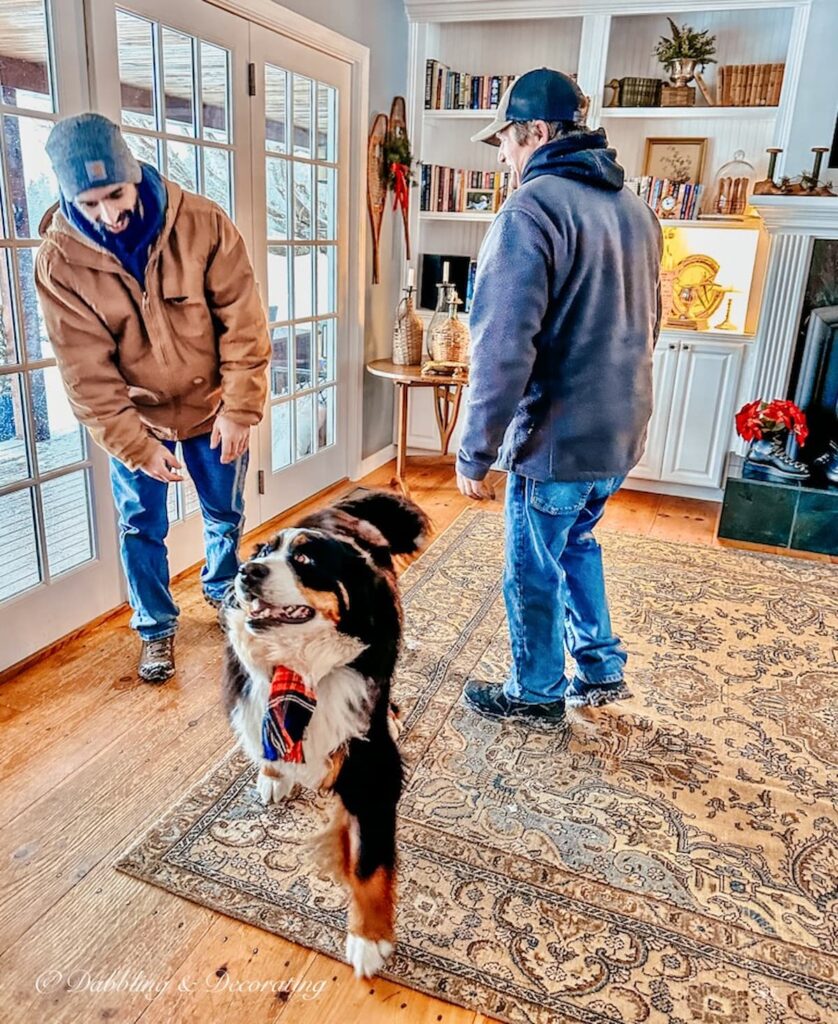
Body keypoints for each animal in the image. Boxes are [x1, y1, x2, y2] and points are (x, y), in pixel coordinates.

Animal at [219, 491, 428, 978]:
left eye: (304, 560)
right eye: (261, 552)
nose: (247, 571)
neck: (299, 667)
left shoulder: (373, 766)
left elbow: (369, 865)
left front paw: (369, 939)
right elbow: (266, 736)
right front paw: (273, 772)